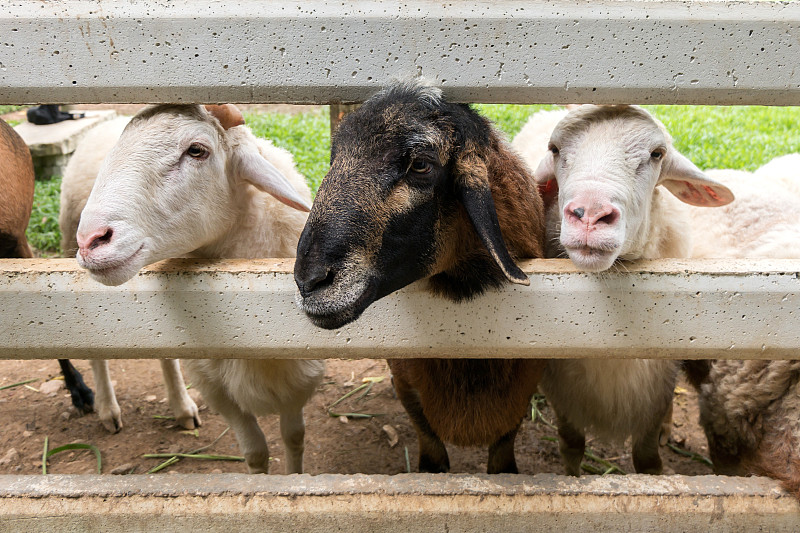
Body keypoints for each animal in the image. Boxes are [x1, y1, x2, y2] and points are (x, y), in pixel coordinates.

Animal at [296, 81, 552, 472]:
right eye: (333, 161)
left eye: (420, 164)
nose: (309, 281)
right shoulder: (407, 386)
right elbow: (431, 450)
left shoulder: (523, 390)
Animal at [516, 104, 736, 474]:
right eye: (555, 150)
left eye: (657, 154)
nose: (589, 215)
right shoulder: (560, 385)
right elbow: (571, 445)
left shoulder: (657, 382)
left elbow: (647, 458)